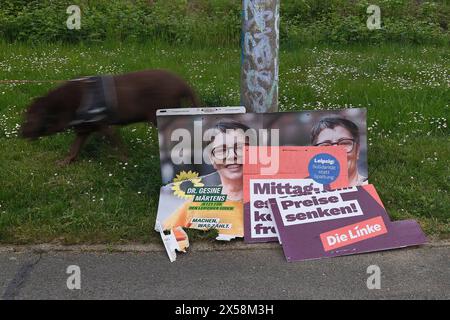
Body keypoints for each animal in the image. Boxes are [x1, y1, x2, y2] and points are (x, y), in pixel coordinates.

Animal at [21, 69, 200, 165]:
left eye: (30, 119)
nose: (20, 133)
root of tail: (183, 84)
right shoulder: (84, 128)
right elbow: (74, 147)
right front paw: (64, 162)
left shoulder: (103, 125)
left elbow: (116, 141)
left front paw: (125, 158)